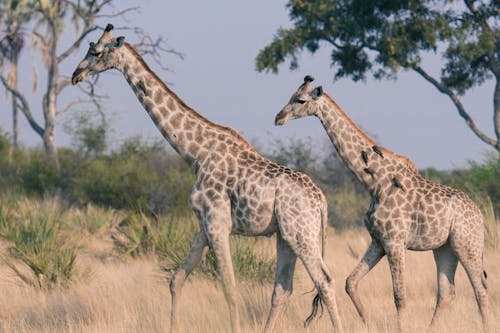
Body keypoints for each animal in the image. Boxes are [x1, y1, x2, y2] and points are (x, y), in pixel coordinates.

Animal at [70, 24, 344, 330]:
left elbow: (230, 289)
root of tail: (321, 200)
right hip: (286, 236)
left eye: (96, 51)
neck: (195, 154)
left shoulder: (217, 223)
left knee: (324, 281)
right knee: (283, 289)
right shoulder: (204, 224)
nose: (75, 75)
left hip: (302, 233)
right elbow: (176, 279)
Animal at [276, 76, 490, 332]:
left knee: (480, 289)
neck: (373, 182)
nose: (278, 117)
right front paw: (366, 322)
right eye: (290, 96)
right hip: (444, 248)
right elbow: (350, 282)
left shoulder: (395, 241)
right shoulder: (378, 240)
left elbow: (399, 295)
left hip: (467, 244)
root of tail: (480, 216)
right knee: (447, 293)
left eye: (300, 100)